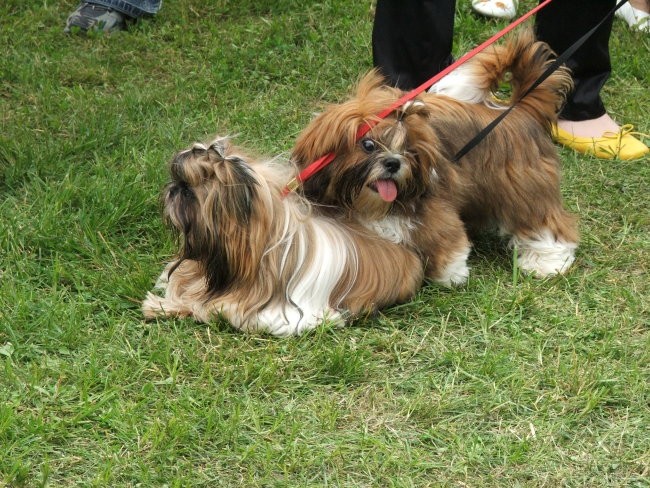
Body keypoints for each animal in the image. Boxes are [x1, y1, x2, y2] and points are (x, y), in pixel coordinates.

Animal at [292, 31, 576, 282]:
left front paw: (452, 274)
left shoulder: (434, 209)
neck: (368, 203)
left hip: (524, 189)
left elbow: (447, 241)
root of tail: (521, 110)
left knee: (545, 222)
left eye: (409, 150)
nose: (393, 163)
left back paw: (548, 262)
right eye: (368, 145)